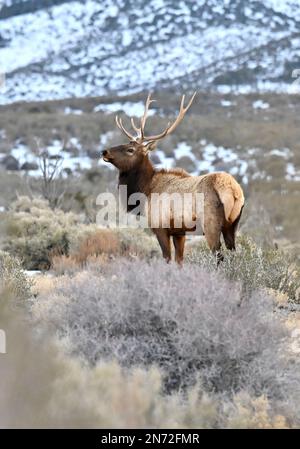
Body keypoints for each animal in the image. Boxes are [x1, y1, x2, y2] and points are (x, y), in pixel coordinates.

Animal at [101, 93, 244, 264]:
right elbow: (179, 261)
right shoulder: (179, 232)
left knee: (219, 257)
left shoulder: (160, 227)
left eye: (130, 149)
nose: (104, 152)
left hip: (211, 224)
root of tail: (233, 189)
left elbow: (167, 258)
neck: (146, 190)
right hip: (233, 224)